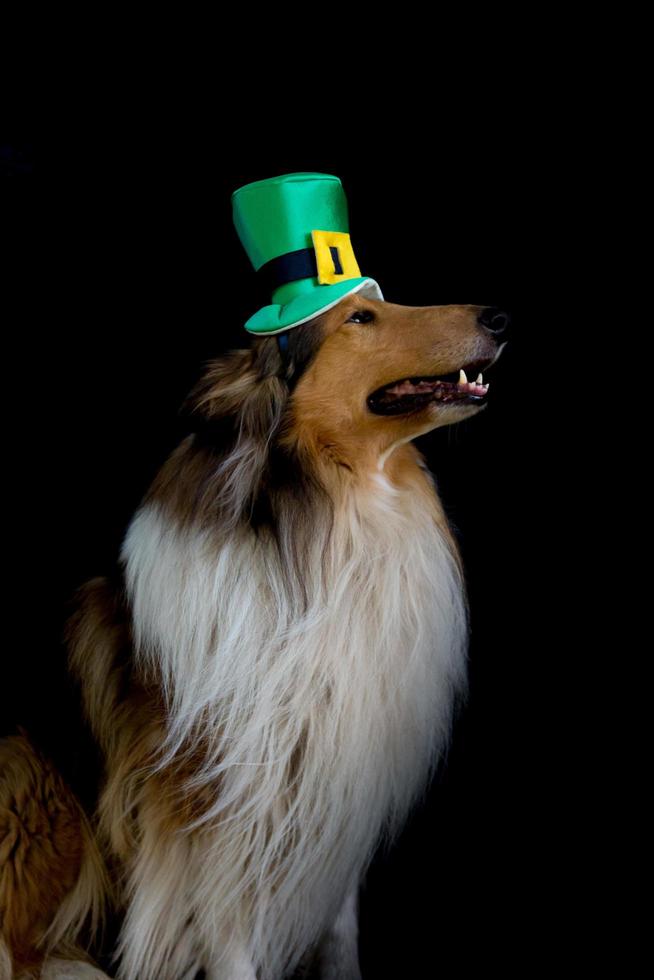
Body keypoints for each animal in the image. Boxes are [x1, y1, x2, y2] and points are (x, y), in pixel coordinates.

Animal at [0, 294, 510, 976]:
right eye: (359, 318)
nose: (498, 318)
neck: (329, 531)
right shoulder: (217, 811)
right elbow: (229, 937)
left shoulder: (332, 782)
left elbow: (339, 931)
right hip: (32, 782)